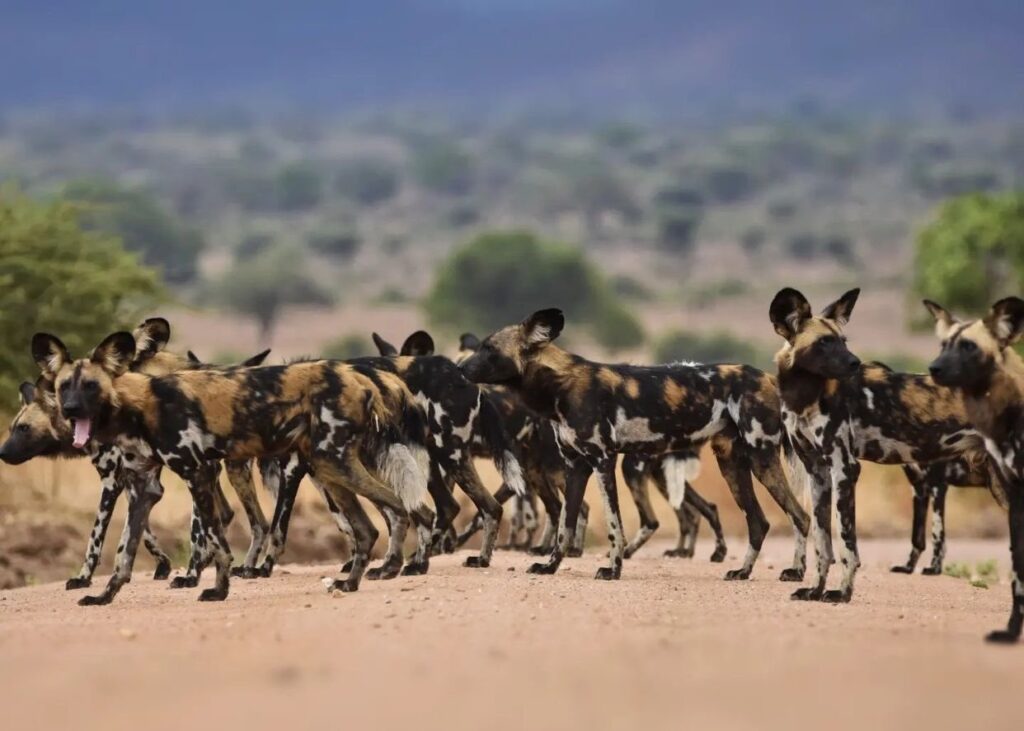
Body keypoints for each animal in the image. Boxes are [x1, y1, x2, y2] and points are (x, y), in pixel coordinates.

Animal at [34, 329, 430, 602]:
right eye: (64, 386)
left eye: (90, 386)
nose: (70, 409)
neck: (141, 405)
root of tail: (360, 374)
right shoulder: (144, 489)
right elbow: (123, 553)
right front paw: (103, 596)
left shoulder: (196, 474)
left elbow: (216, 542)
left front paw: (217, 590)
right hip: (329, 468)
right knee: (371, 527)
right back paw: (350, 583)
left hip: (335, 463)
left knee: (401, 508)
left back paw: (391, 568)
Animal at [458, 307, 806, 581]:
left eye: (489, 349)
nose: (459, 369)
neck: (559, 387)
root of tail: (766, 378)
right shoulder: (575, 467)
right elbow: (565, 523)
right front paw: (550, 566)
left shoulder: (603, 461)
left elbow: (613, 524)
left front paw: (612, 569)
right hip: (731, 464)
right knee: (759, 521)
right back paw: (744, 572)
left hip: (760, 459)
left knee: (800, 516)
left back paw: (796, 573)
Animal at [770, 286, 999, 602]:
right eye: (823, 343)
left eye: (843, 341)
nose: (854, 363)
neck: (805, 395)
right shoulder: (817, 473)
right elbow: (822, 543)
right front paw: (814, 590)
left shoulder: (845, 469)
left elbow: (847, 546)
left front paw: (842, 593)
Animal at [929, 292, 1024, 638]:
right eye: (943, 344)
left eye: (969, 346)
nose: (934, 368)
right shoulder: (1016, 498)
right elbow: (1019, 571)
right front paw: (1011, 631)